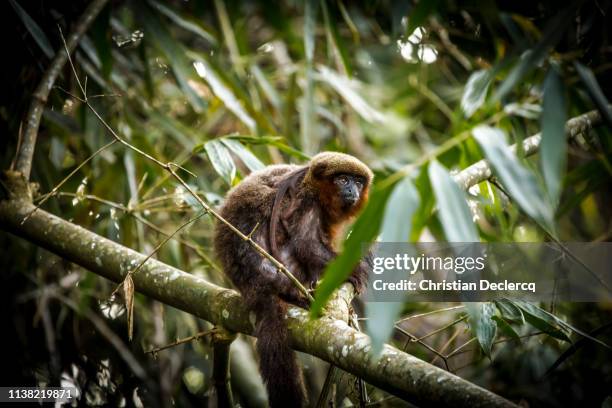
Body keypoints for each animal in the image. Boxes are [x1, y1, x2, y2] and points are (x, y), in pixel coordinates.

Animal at [215, 151, 372, 406]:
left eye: (357, 182)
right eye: (342, 180)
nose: (352, 190)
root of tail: (256, 284)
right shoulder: (307, 201)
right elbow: (305, 244)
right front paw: (355, 271)